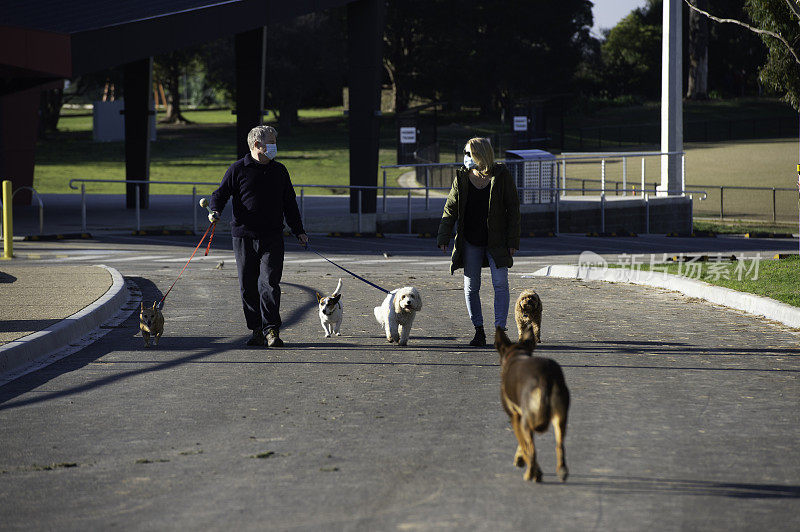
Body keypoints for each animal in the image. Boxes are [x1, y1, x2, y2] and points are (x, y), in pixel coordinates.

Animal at [494, 324, 568, 482]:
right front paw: (520, 458)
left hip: (528, 421)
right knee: (560, 446)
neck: (517, 354)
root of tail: (545, 376)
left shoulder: (515, 417)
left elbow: (524, 445)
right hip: (560, 418)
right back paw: (562, 471)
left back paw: (532, 474)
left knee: (532, 450)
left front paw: (525, 462)